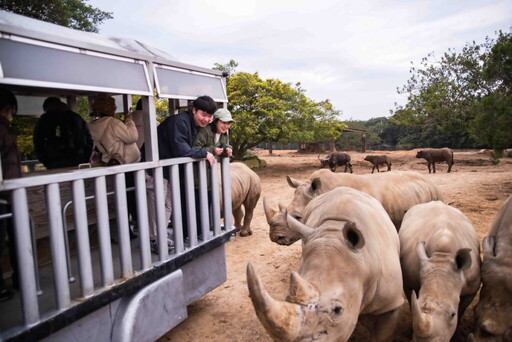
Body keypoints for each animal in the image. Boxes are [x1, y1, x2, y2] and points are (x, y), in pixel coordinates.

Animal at [400, 202, 480, 340]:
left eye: (452, 314)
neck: (442, 259)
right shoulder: (409, 282)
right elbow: (412, 303)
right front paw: (410, 332)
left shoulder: (471, 289)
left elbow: (461, 311)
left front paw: (458, 336)